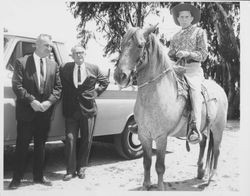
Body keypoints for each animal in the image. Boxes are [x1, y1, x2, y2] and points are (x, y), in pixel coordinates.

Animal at [113, 24, 229, 190]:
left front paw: (160, 187)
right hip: (203, 128)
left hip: (218, 128)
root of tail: (220, 89)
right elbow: (147, 162)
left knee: (217, 150)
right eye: (121, 45)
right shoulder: (144, 135)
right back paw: (201, 171)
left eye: (140, 45)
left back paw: (211, 177)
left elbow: (160, 166)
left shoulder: (161, 137)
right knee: (203, 142)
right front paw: (146, 185)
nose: (119, 76)